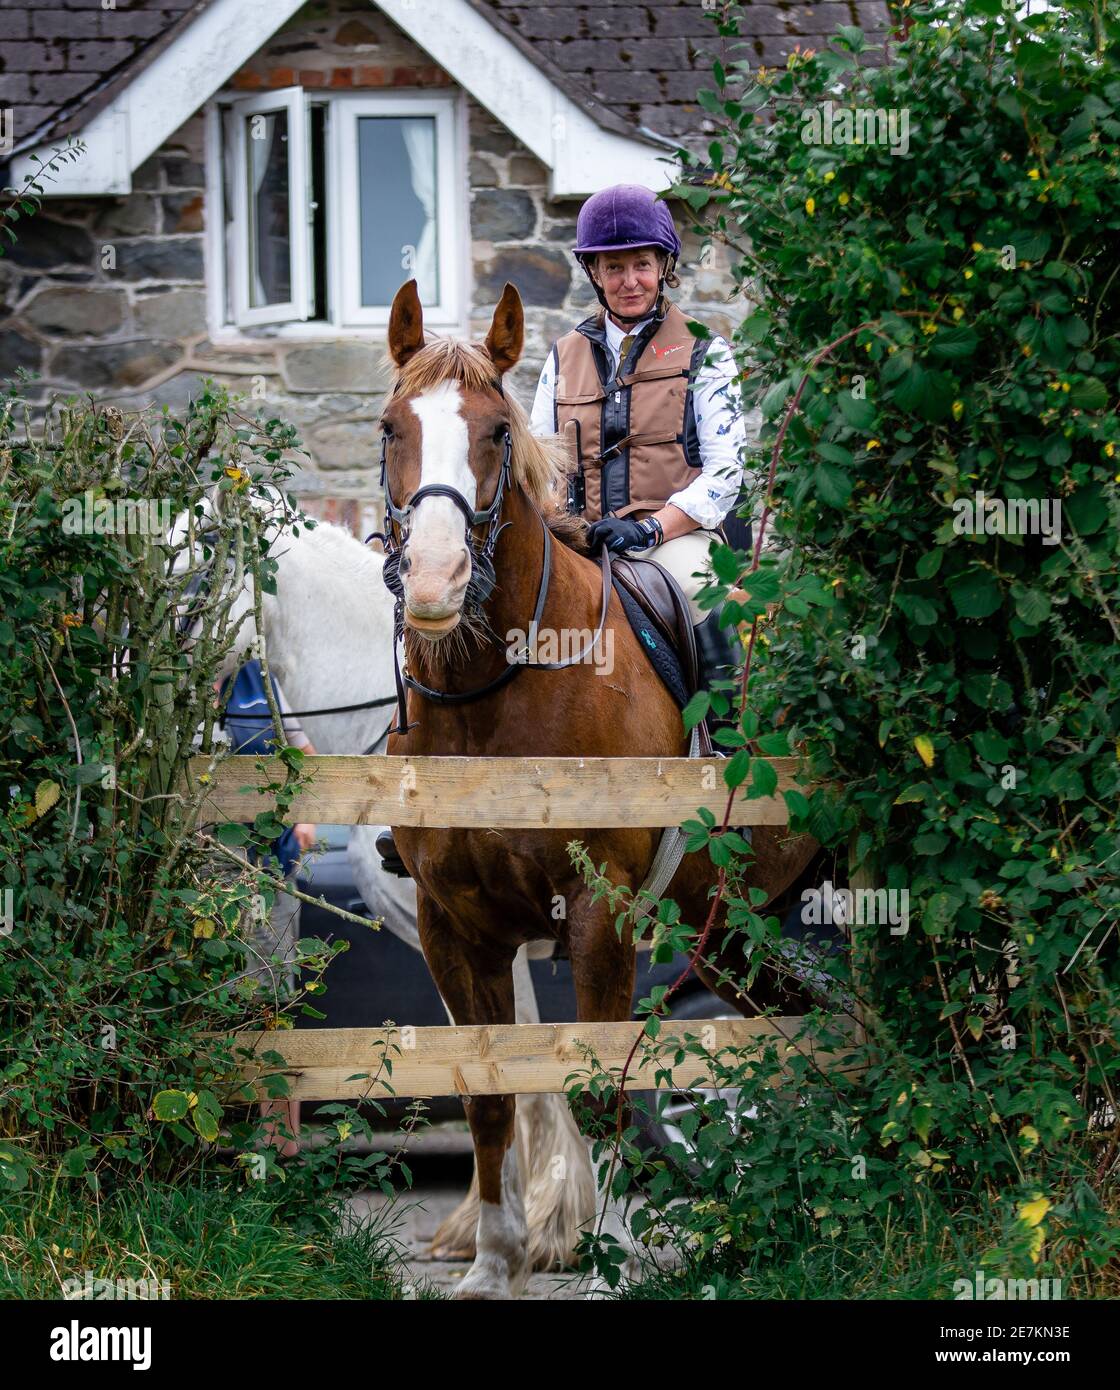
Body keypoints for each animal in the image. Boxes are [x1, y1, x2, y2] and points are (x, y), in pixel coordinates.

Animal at [380, 278, 819, 1299]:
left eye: (498, 432)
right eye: (390, 428)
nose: (435, 581)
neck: (493, 697)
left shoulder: (598, 914)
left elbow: (600, 1087)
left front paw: (606, 1261)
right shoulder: (451, 927)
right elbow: (491, 1097)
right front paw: (495, 1262)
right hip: (739, 937)